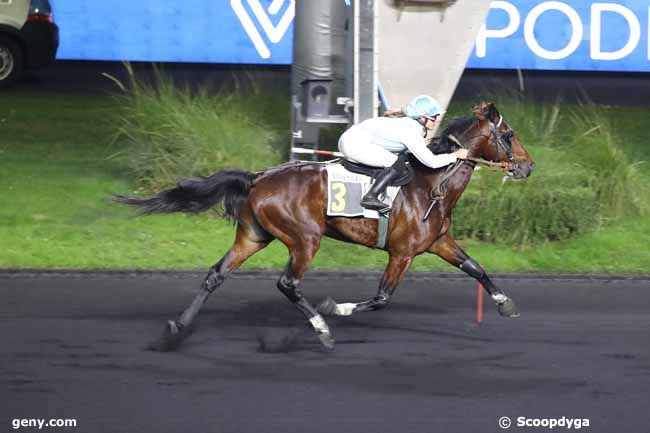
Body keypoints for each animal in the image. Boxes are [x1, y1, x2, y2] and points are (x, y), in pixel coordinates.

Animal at [114, 102, 536, 352]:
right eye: (509, 134)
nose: (528, 166)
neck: (430, 183)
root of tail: (257, 178)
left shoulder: (438, 242)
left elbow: (476, 268)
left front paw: (506, 304)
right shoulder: (402, 252)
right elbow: (381, 298)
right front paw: (338, 308)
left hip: (253, 236)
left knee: (215, 274)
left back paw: (176, 330)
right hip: (305, 239)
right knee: (287, 283)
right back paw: (322, 329)